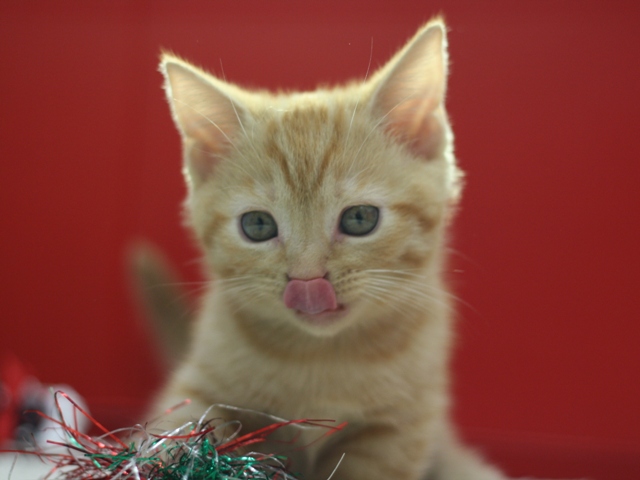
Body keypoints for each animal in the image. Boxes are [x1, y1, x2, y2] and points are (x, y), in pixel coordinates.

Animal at [150, 18, 510, 480]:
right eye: (258, 225)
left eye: (359, 219)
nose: (307, 281)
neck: (319, 360)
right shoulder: (197, 387)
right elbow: (174, 427)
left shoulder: (399, 430)